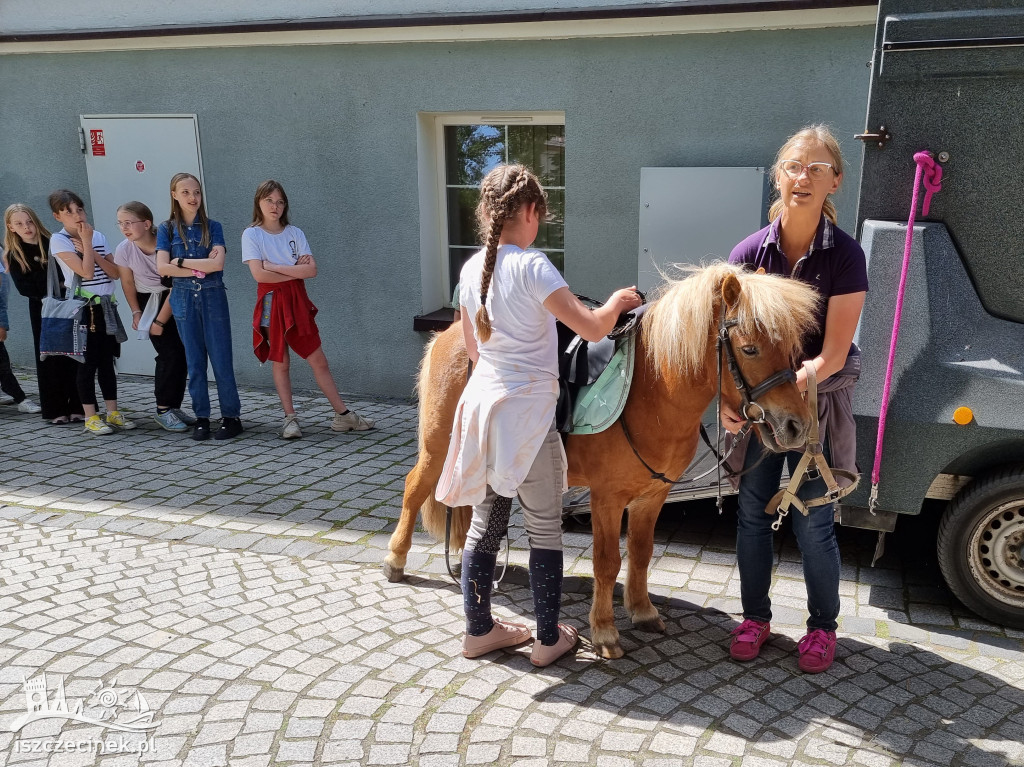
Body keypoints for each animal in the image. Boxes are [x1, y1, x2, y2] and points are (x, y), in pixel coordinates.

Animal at [387, 264, 819, 659]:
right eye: (749, 348)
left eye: (793, 346)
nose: (796, 426)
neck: (654, 391)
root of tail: (450, 333)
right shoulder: (607, 499)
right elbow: (607, 562)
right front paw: (605, 631)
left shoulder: (652, 496)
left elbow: (641, 553)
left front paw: (642, 611)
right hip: (438, 447)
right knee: (415, 487)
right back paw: (395, 559)